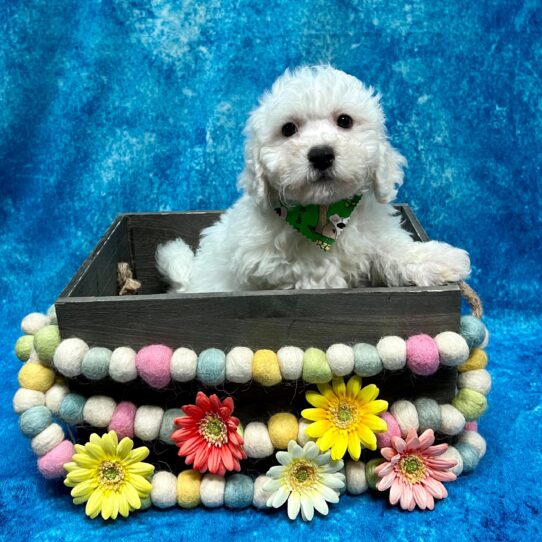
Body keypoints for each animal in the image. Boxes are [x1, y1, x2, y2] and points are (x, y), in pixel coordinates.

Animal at [157, 66, 472, 296]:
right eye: (288, 129)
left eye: (344, 120)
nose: (321, 155)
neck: (323, 214)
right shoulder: (274, 269)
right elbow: (315, 276)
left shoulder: (374, 233)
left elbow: (394, 248)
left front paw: (437, 259)